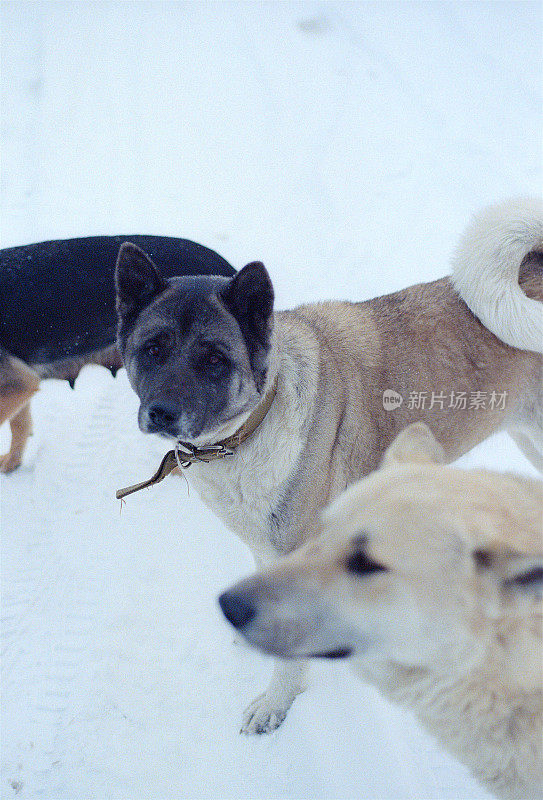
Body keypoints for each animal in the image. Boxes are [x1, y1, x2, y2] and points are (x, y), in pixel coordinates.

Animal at [116, 198, 543, 732]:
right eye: (153, 349)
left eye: (213, 359)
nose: (162, 413)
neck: (253, 426)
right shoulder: (269, 548)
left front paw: (275, 702)